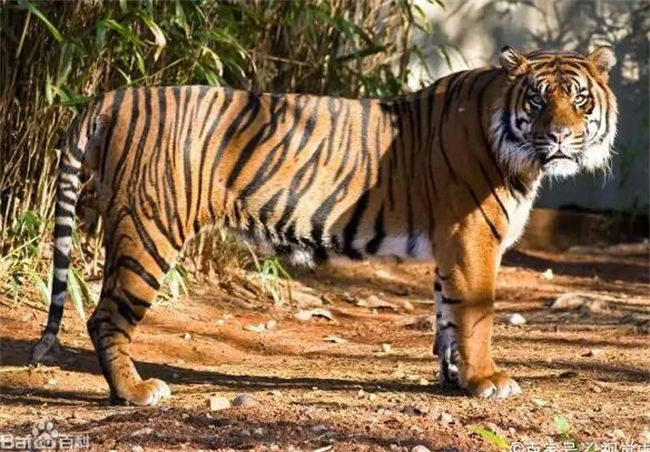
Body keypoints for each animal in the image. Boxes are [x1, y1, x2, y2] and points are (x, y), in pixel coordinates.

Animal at [31, 46, 616, 406]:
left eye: (578, 98)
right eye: (537, 99)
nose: (560, 136)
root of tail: (113, 96)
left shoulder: (452, 250)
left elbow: (448, 318)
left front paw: (453, 380)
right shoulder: (472, 239)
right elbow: (476, 317)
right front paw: (486, 381)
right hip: (150, 229)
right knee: (106, 316)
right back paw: (134, 393)